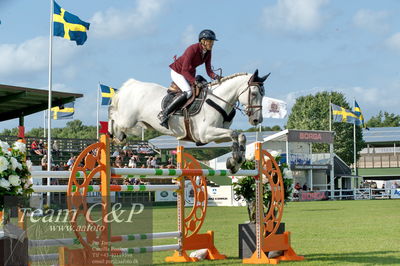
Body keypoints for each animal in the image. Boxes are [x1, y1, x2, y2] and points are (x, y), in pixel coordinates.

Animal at [108, 68, 268, 172]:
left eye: (263, 94)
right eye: (254, 93)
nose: (257, 120)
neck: (219, 100)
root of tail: (131, 85)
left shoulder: (217, 136)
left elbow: (240, 136)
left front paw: (236, 162)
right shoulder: (205, 134)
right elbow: (234, 133)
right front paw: (234, 160)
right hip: (127, 119)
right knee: (113, 116)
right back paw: (113, 135)